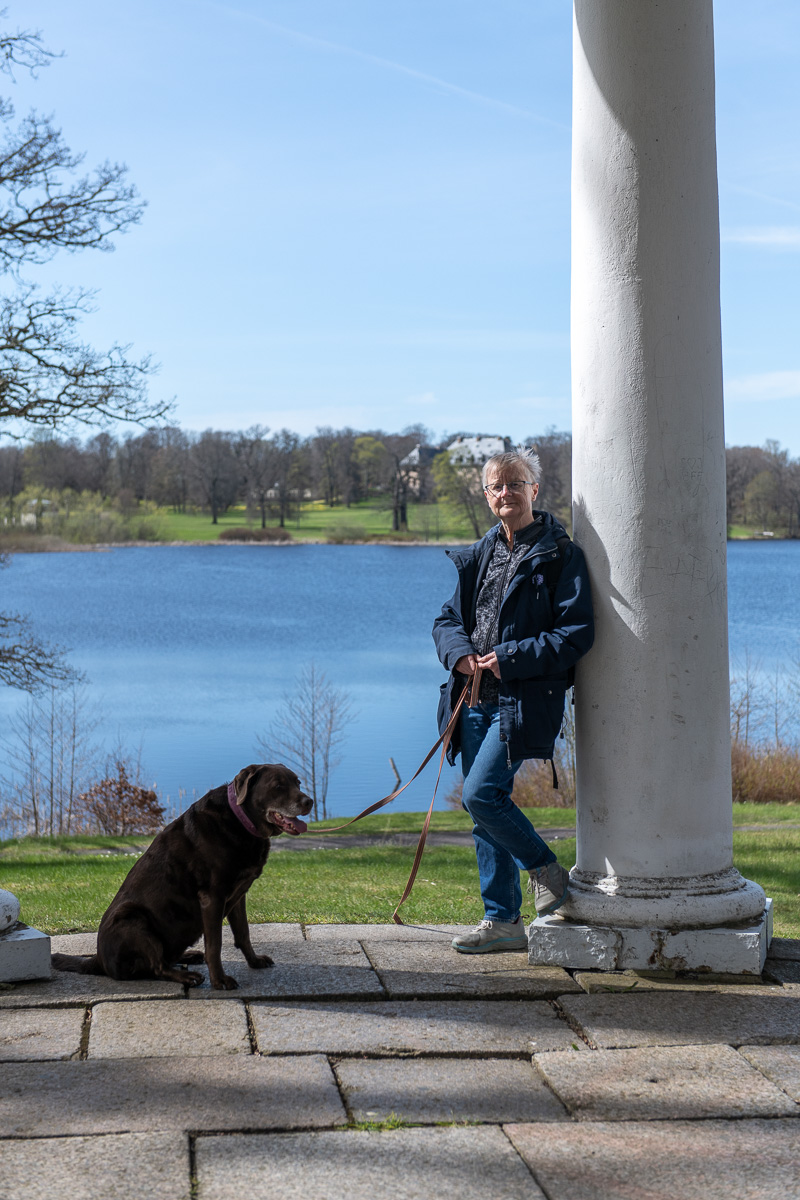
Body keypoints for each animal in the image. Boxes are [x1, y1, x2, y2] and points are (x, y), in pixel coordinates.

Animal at [50, 763, 311, 988]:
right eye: (278, 786)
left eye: (297, 783)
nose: (309, 801)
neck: (241, 821)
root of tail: (98, 960)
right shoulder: (212, 897)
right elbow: (215, 944)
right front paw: (220, 981)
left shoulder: (238, 895)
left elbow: (243, 933)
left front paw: (254, 962)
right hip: (132, 919)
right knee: (157, 967)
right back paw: (187, 976)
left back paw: (190, 956)